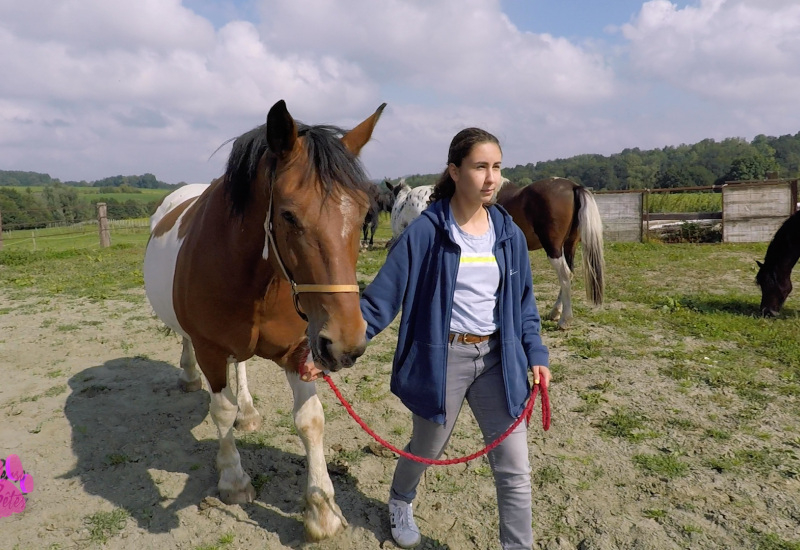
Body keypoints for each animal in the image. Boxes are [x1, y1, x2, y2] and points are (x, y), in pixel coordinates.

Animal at [145, 100, 388, 544]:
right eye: (289, 215)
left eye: (364, 211)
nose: (345, 344)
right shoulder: (210, 348)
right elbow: (220, 411)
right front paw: (233, 480)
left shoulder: (299, 350)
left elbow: (310, 421)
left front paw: (321, 511)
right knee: (188, 345)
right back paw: (189, 377)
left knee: (241, 366)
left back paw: (248, 409)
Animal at [496, 179, 604, 330]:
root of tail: (573, 186)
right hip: (569, 246)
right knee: (569, 274)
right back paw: (555, 312)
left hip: (554, 249)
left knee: (565, 275)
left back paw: (564, 320)